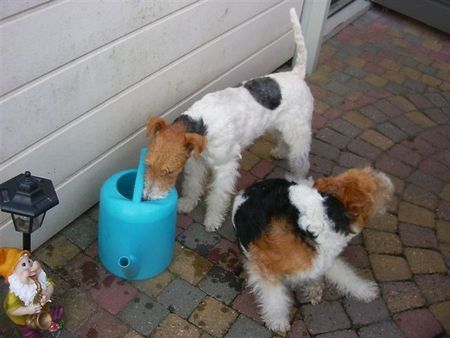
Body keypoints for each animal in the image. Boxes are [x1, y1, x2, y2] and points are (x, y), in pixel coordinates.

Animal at [144, 7, 312, 231]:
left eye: (169, 172)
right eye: (148, 164)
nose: (146, 198)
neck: (202, 125)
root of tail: (296, 73)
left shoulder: (225, 167)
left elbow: (217, 196)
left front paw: (212, 220)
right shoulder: (197, 162)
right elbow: (192, 184)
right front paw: (187, 204)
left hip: (299, 132)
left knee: (301, 160)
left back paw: (299, 180)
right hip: (278, 126)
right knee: (282, 140)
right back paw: (279, 152)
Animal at [232, 168, 394, 332]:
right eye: (376, 187)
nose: (389, 182)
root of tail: (248, 190)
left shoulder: (324, 258)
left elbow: (346, 274)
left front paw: (365, 291)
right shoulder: (264, 266)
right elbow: (275, 298)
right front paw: (278, 321)